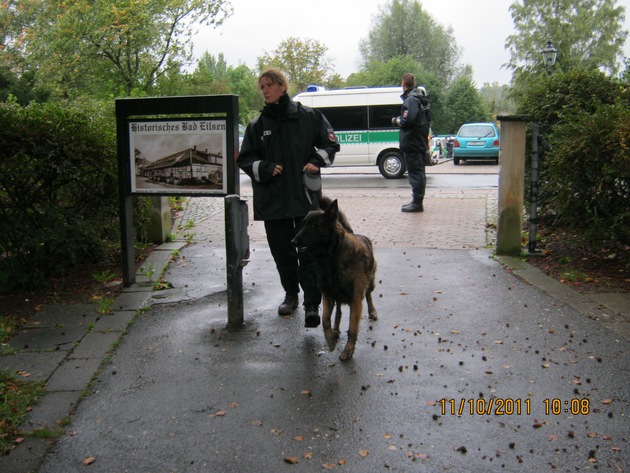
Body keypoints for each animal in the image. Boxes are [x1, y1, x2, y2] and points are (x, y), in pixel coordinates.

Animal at [292, 197, 378, 360]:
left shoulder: (355, 300)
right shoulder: (328, 294)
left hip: (370, 283)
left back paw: (372, 311)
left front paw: (348, 350)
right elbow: (326, 320)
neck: (332, 256)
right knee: (338, 312)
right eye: (302, 224)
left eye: (312, 226)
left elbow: (352, 328)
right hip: (337, 296)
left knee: (369, 294)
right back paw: (336, 330)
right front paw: (330, 339)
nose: (293, 242)